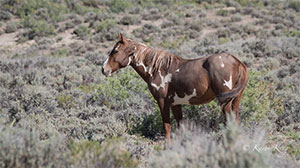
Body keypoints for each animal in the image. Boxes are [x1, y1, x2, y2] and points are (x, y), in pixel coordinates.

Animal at [102, 33, 247, 144]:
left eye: (115, 51)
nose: (104, 69)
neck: (156, 68)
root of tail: (237, 61)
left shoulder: (162, 101)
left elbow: (166, 125)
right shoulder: (175, 104)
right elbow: (180, 125)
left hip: (225, 102)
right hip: (235, 100)